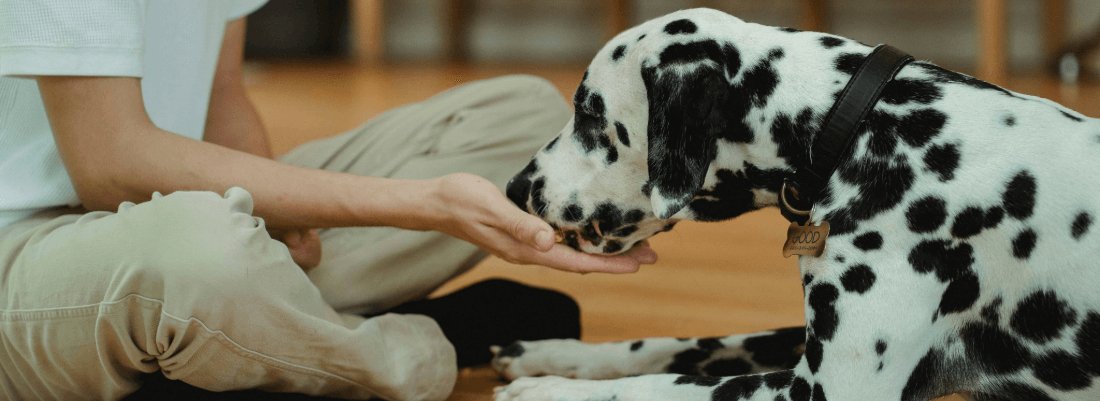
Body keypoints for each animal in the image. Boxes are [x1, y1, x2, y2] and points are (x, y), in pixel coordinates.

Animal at [497, 7, 1100, 399]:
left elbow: (665, 385)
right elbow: (676, 345)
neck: (862, 126)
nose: (515, 188)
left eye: (589, 113)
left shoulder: (821, 390)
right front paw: (559, 355)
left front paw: (550, 391)